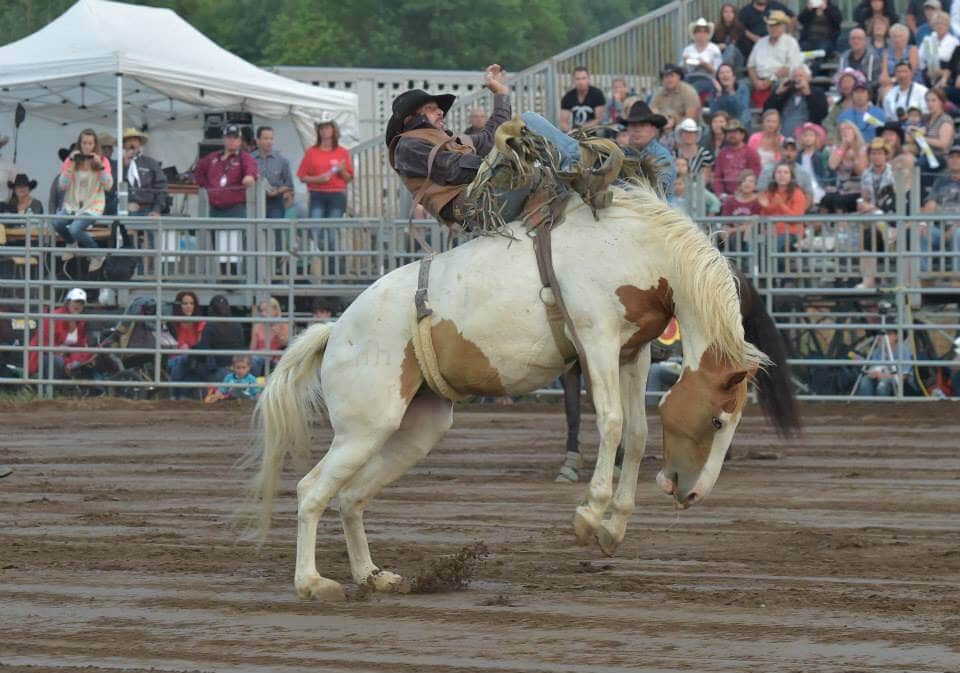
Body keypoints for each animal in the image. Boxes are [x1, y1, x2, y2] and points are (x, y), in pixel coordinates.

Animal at [251, 184, 768, 600]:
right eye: (717, 419)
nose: (691, 493)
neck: (638, 247)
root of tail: (337, 330)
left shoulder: (631, 352)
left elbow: (638, 434)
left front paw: (613, 528)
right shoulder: (596, 337)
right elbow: (612, 422)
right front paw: (588, 517)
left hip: (415, 429)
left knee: (351, 496)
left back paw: (374, 576)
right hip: (364, 428)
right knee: (312, 490)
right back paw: (312, 583)